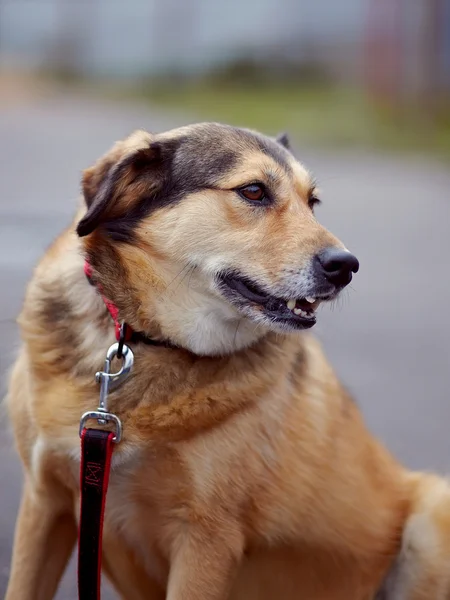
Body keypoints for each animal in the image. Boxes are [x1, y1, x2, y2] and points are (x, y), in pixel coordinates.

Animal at [3, 123, 450, 600]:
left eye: (312, 202)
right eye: (253, 191)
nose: (346, 266)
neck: (149, 341)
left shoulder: (208, 540)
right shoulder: (45, 502)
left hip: (431, 512)